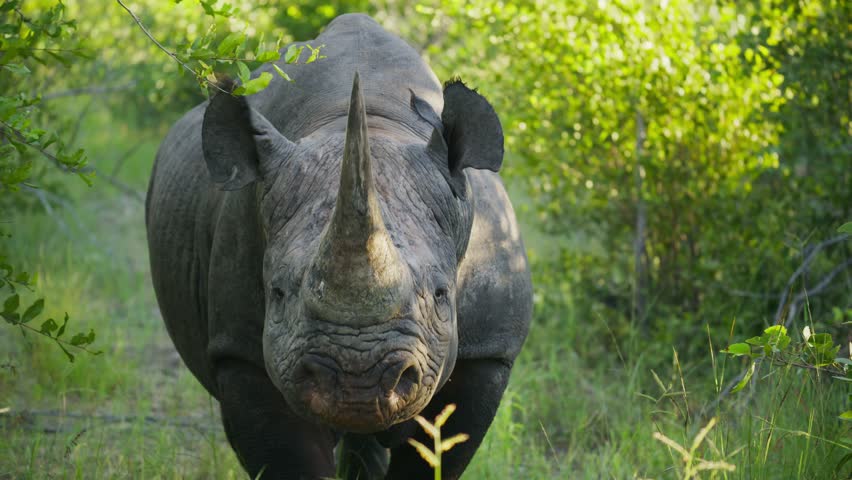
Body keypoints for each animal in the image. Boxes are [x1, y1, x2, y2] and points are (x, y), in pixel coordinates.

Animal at [146, 13, 531, 479]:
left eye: (442, 295)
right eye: (277, 293)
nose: (357, 382)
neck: (379, 123)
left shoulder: (488, 351)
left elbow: (436, 452)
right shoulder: (241, 355)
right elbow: (288, 458)